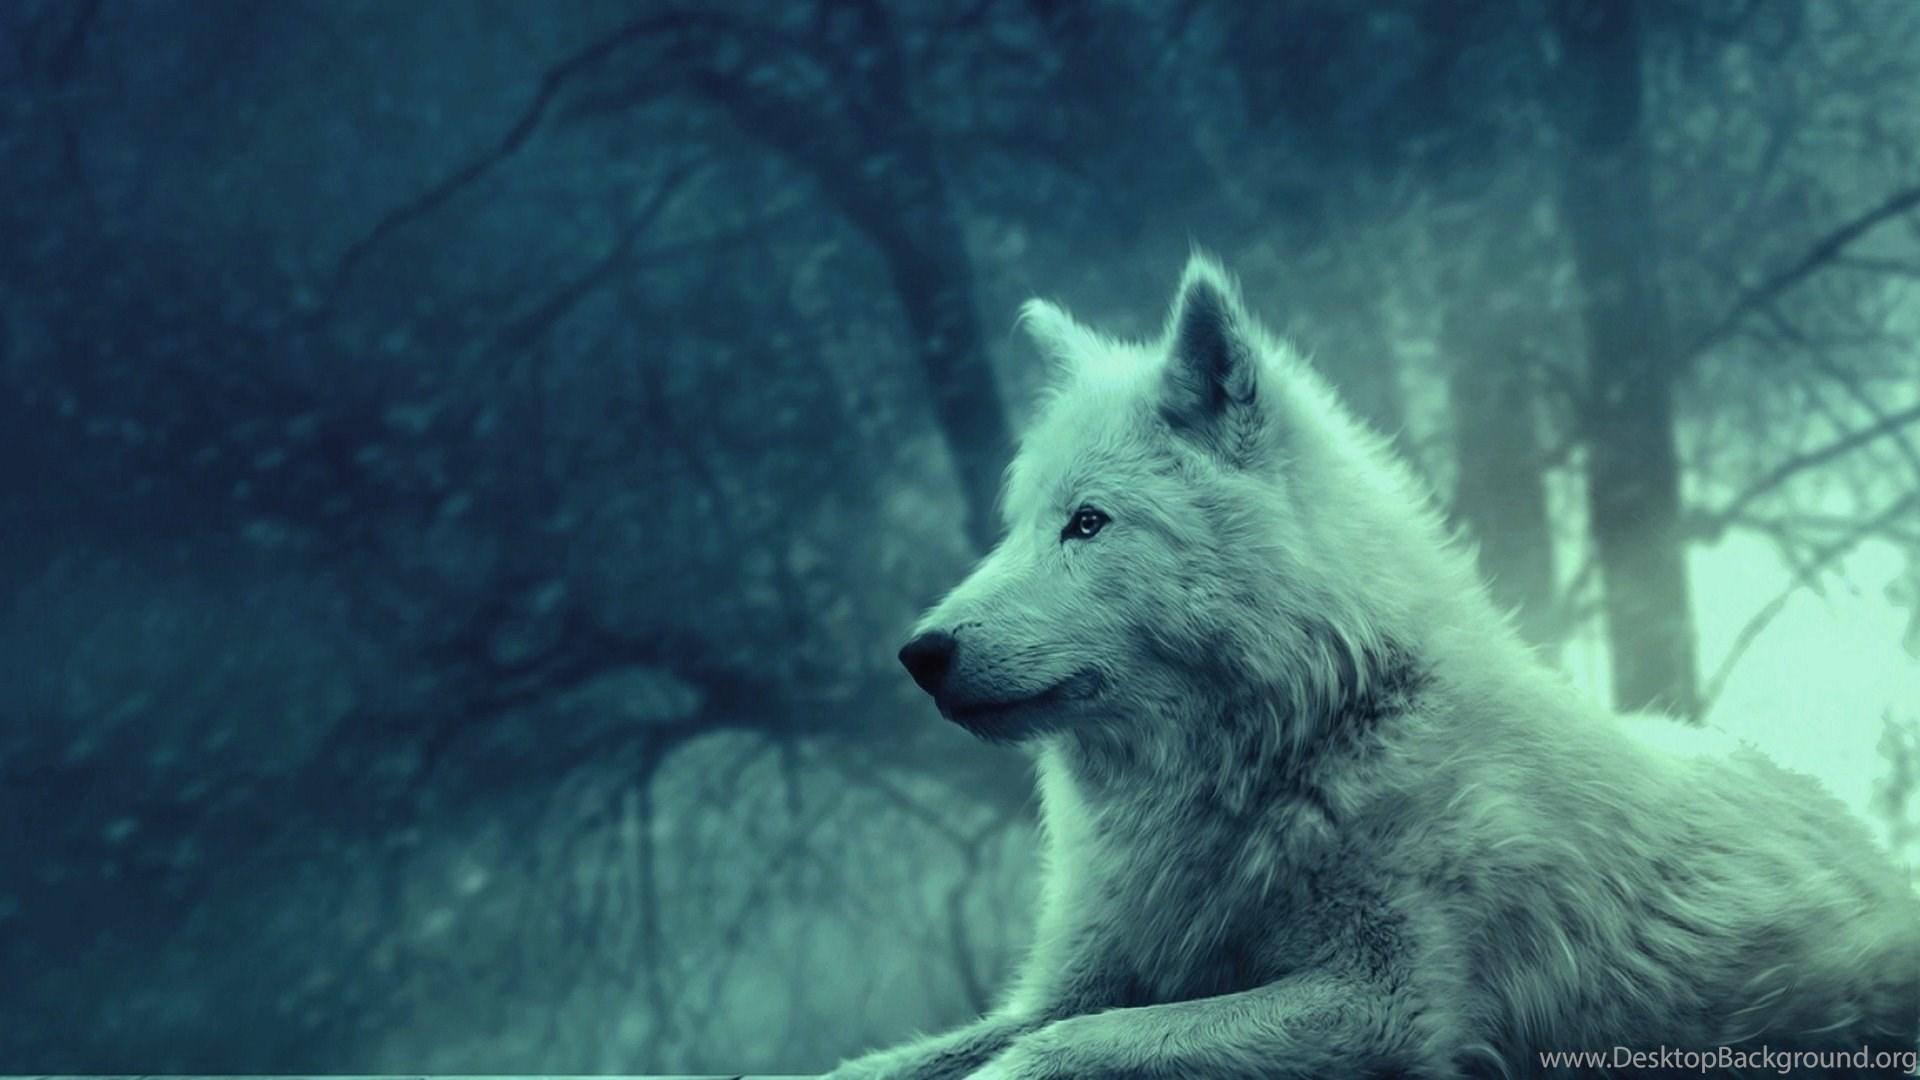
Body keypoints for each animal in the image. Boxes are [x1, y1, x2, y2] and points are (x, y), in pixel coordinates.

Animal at [829, 257, 1920, 1079]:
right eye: (1016, 526)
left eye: (1088, 523)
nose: (920, 654)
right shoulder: (1071, 984)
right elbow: (898, 1060)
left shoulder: (1383, 1006)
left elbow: (1060, 1052)